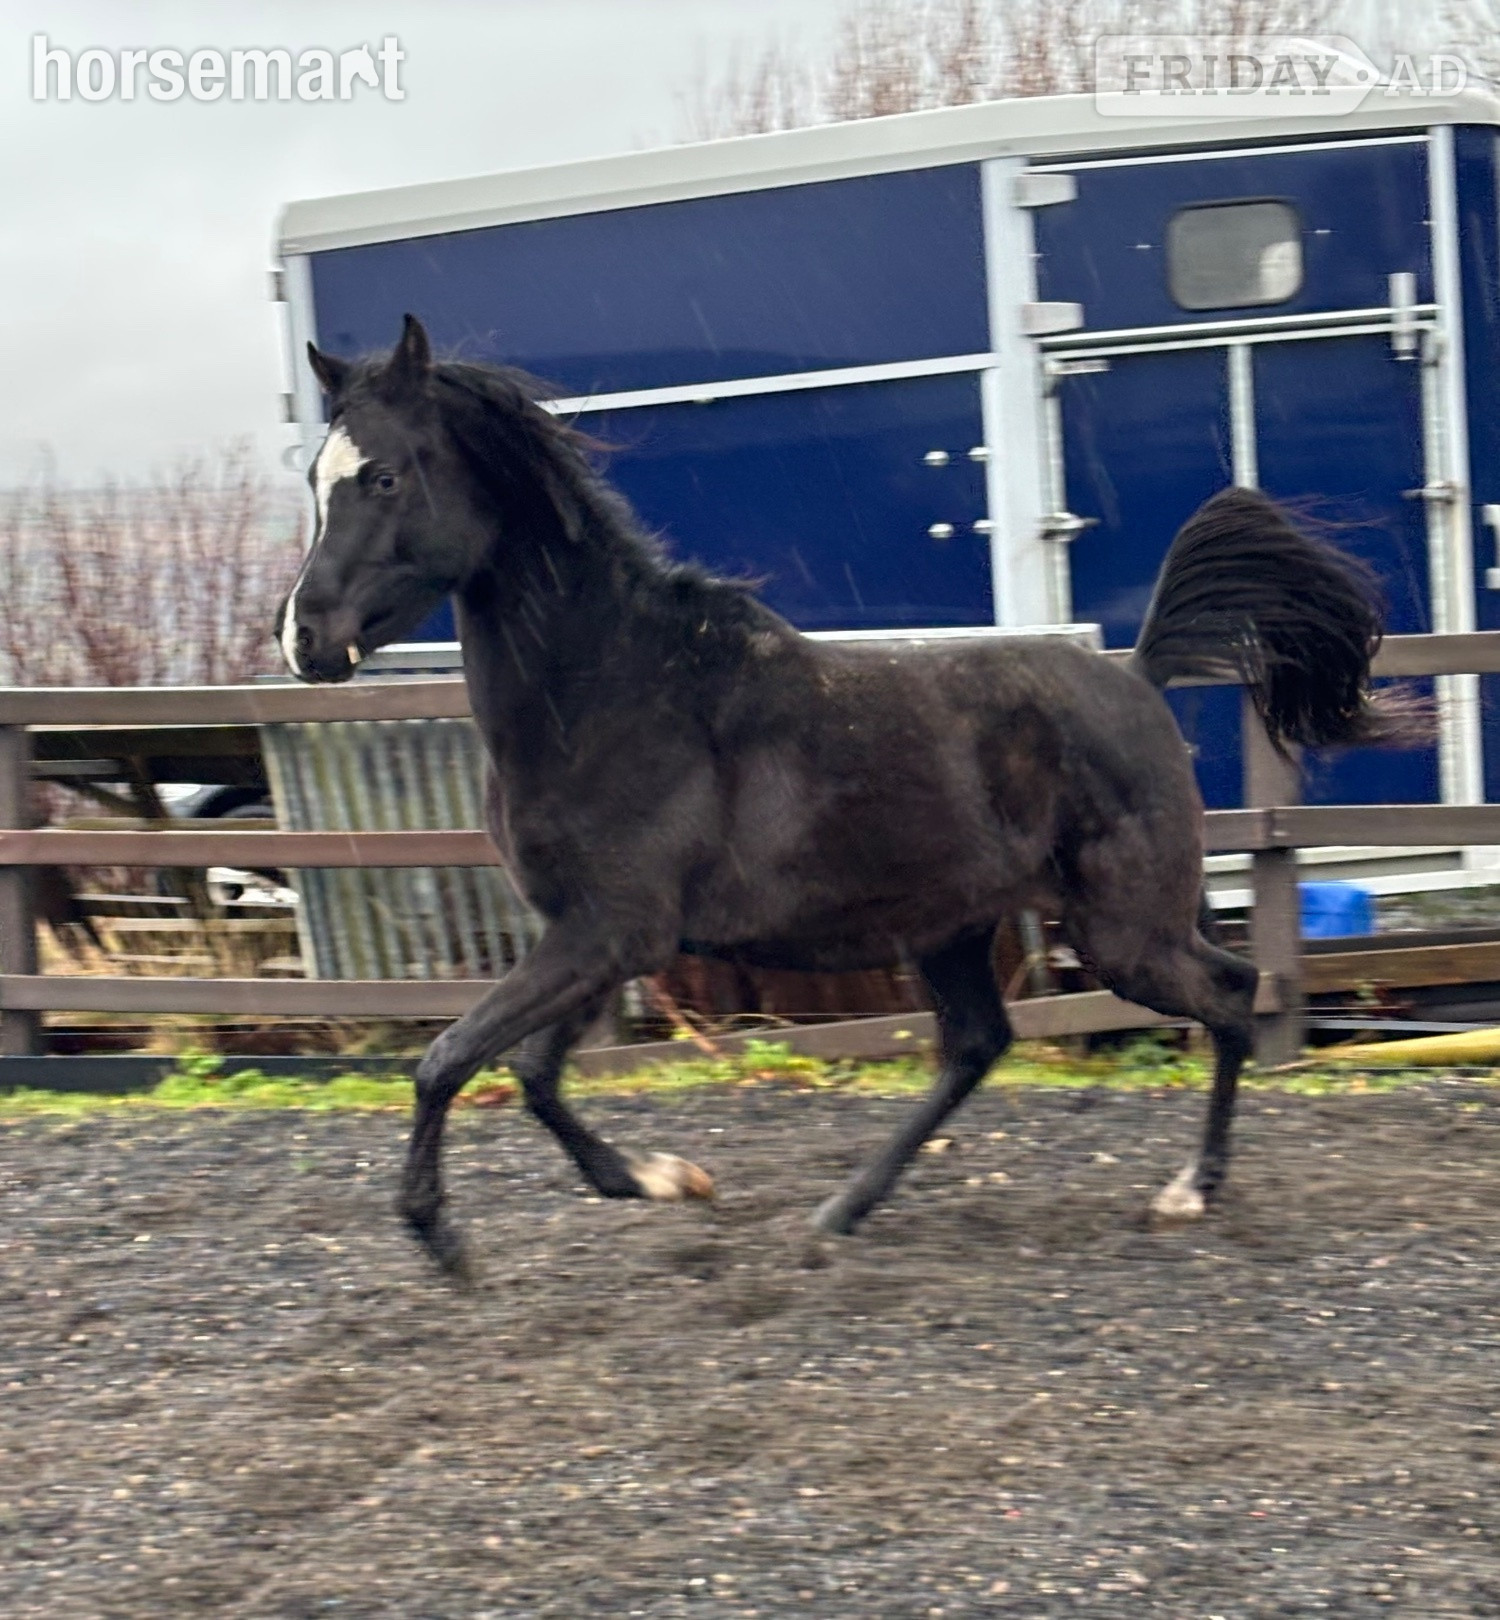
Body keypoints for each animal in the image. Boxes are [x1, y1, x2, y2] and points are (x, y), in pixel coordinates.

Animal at [277, 315, 1402, 1276]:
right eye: (315, 481)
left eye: (382, 475)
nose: (304, 640)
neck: (614, 690)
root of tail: (1138, 675)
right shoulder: (597, 938)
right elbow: (535, 1074)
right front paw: (665, 1180)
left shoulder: (611, 934)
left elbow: (448, 1058)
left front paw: (441, 1238)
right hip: (954, 926)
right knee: (980, 1044)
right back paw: (843, 1211)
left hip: (1122, 930)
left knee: (1229, 992)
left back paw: (1188, 1191)